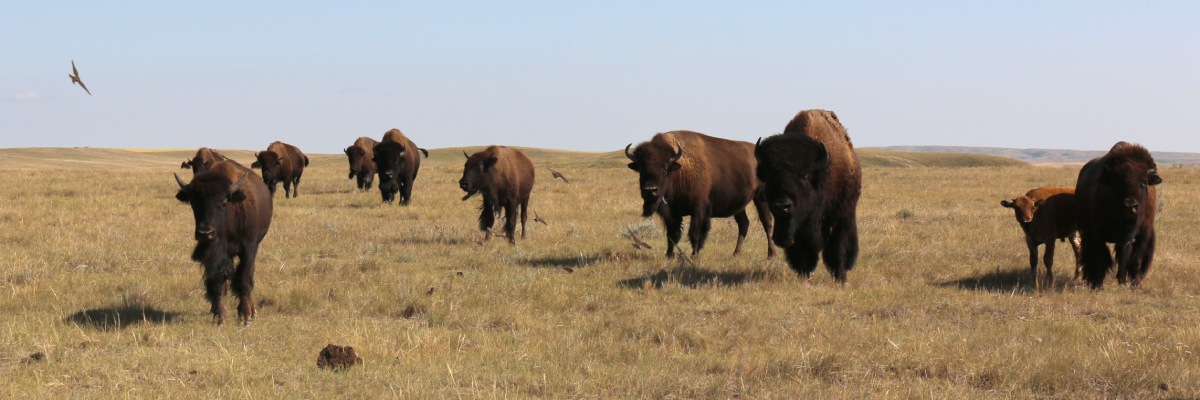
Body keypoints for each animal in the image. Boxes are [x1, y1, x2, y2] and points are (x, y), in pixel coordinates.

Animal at [174, 158, 272, 324]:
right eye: (193, 201)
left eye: (224, 201)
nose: (205, 233)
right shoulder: (216, 255)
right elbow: (218, 281)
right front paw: (219, 317)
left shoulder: (249, 248)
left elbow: (244, 278)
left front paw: (245, 316)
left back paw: (252, 311)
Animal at [624, 129, 772, 257]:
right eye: (641, 169)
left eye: (664, 168)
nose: (650, 190)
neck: (679, 170)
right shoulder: (672, 213)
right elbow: (672, 234)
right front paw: (669, 255)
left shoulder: (698, 209)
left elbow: (695, 233)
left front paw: (694, 255)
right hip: (739, 206)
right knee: (744, 224)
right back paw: (736, 253)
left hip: (761, 197)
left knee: (767, 222)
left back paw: (771, 255)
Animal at [753, 109, 859, 282]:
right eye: (769, 176)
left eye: (804, 176)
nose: (782, 205)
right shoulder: (798, 227)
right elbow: (802, 250)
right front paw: (804, 275)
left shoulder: (841, 217)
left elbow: (838, 247)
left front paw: (840, 278)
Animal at [1075, 139, 1156, 287]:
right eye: (1117, 182)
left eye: (1144, 182)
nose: (1130, 206)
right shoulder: (1097, 232)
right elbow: (1101, 258)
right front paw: (1098, 285)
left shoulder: (1143, 233)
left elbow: (1134, 258)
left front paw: (1131, 283)